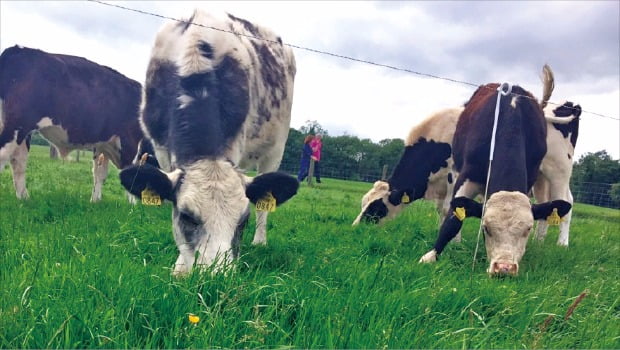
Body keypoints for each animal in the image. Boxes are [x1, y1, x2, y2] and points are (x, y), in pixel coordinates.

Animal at [0, 45, 144, 201]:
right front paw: (132, 205)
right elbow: (132, 175)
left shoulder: (102, 145)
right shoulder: (130, 143)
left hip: (22, 131)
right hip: (16, 125)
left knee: (18, 161)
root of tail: (17, 49)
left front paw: (95, 201)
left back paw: (24, 198)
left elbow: (100, 173)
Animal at [120, 8, 300, 276]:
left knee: (264, 203)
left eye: (242, 221)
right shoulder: (161, 148)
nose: (218, 277)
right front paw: (182, 266)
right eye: (187, 216)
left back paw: (260, 241)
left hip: (275, 147)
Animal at [416, 80, 572, 276]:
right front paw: (431, 256)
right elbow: (452, 220)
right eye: (486, 228)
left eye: (528, 229)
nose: (504, 268)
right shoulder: (466, 176)